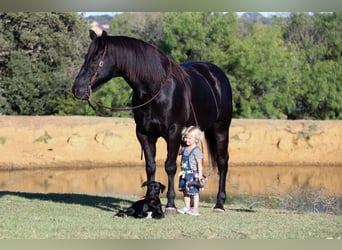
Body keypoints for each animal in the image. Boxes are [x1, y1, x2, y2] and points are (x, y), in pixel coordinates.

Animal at [72, 29, 232, 213]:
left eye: (96, 58)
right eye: (86, 57)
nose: (77, 89)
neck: (155, 90)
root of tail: (216, 74)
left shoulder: (174, 132)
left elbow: (170, 166)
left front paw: (170, 204)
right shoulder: (144, 134)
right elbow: (150, 167)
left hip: (221, 130)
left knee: (222, 163)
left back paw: (219, 204)